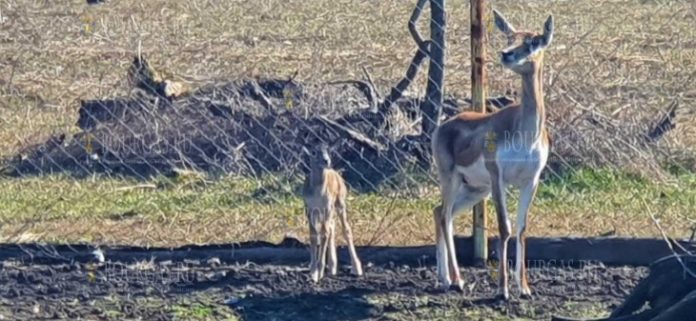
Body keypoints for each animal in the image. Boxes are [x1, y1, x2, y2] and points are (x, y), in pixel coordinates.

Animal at [302, 144, 362, 282]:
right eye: (314, 152)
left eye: (328, 150)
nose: (326, 161)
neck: (317, 192)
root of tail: (337, 174)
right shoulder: (310, 209)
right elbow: (314, 235)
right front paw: (313, 273)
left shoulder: (327, 207)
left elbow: (324, 234)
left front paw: (319, 273)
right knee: (331, 227)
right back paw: (332, 267)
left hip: (339, 204)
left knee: (345, 229)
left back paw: (356, 269)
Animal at [430, 10, 556, 298]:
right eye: (510, 37)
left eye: (533, 42)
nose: (506, 53)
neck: (525, 135)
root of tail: (443, 126)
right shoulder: (498, 177)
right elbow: (504, 227)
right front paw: (502, 289)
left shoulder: (531, 181)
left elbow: (521, 229)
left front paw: (524, 288)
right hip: (452, 179)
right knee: (444, 215)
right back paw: (457, 280)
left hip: (476, 189)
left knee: (439, 211)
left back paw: (444, 278)